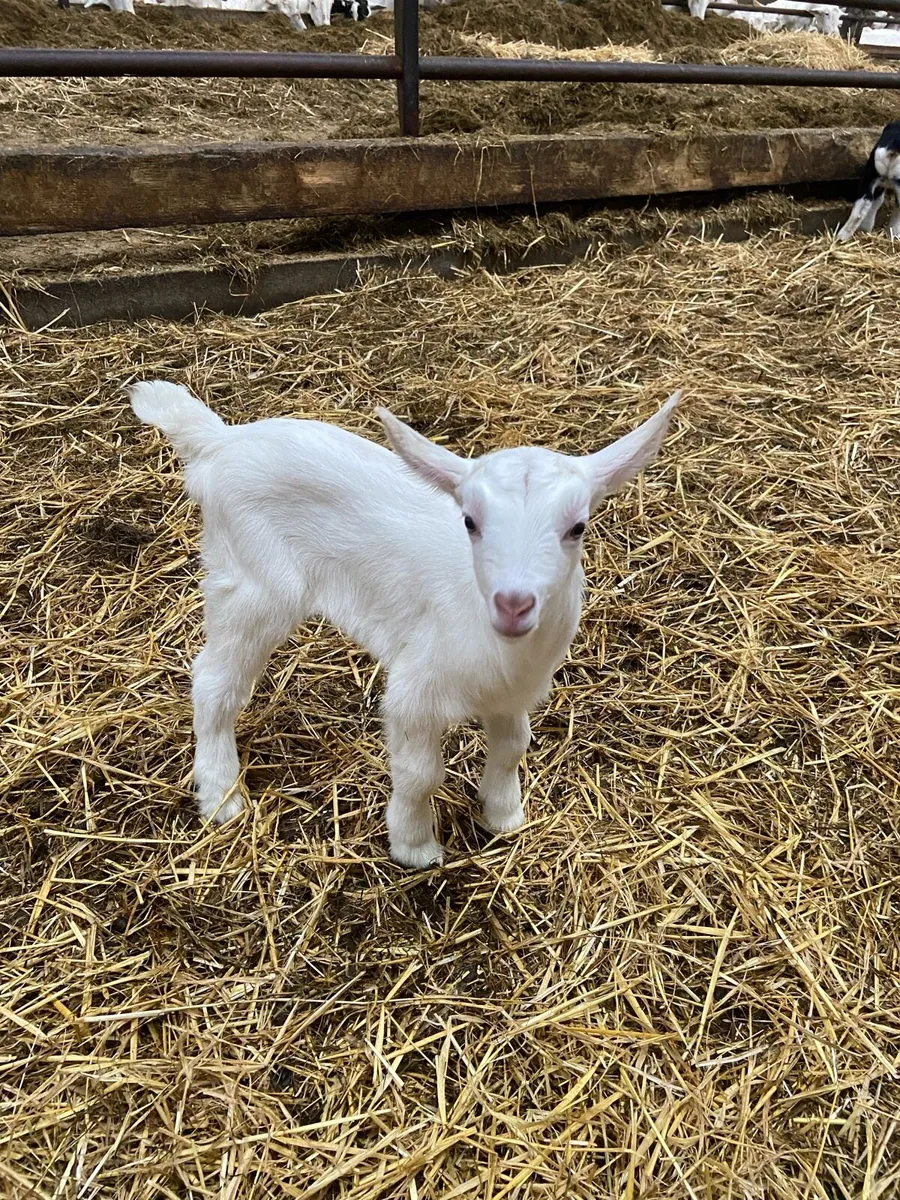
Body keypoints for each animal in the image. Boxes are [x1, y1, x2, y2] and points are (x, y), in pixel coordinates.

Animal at [131, 382, 680, 867]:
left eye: (577, 527)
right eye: (469, 522)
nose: (513, 604)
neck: (500, 648)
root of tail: (221, 440)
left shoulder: (512, 692)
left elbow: (512, 748)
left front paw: (504, 816)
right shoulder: (416, 690)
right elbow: (420, 774)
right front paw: (415, 846)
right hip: (252, 584)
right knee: (214, 681)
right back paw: (220, 795)